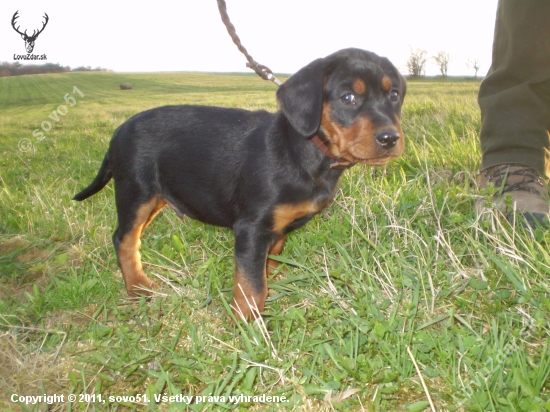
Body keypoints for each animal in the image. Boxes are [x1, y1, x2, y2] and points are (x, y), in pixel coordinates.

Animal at [73, 47, 408, 318]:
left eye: (394, 95)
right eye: (348, 98)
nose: (390, 138)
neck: (307, 151)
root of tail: (118, 131)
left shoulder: (274, 229)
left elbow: (268, 260)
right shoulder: (252, 227)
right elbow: (252, 285)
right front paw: (248, 326)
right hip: (136, 192)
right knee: (125, 239)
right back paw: (138, 287)